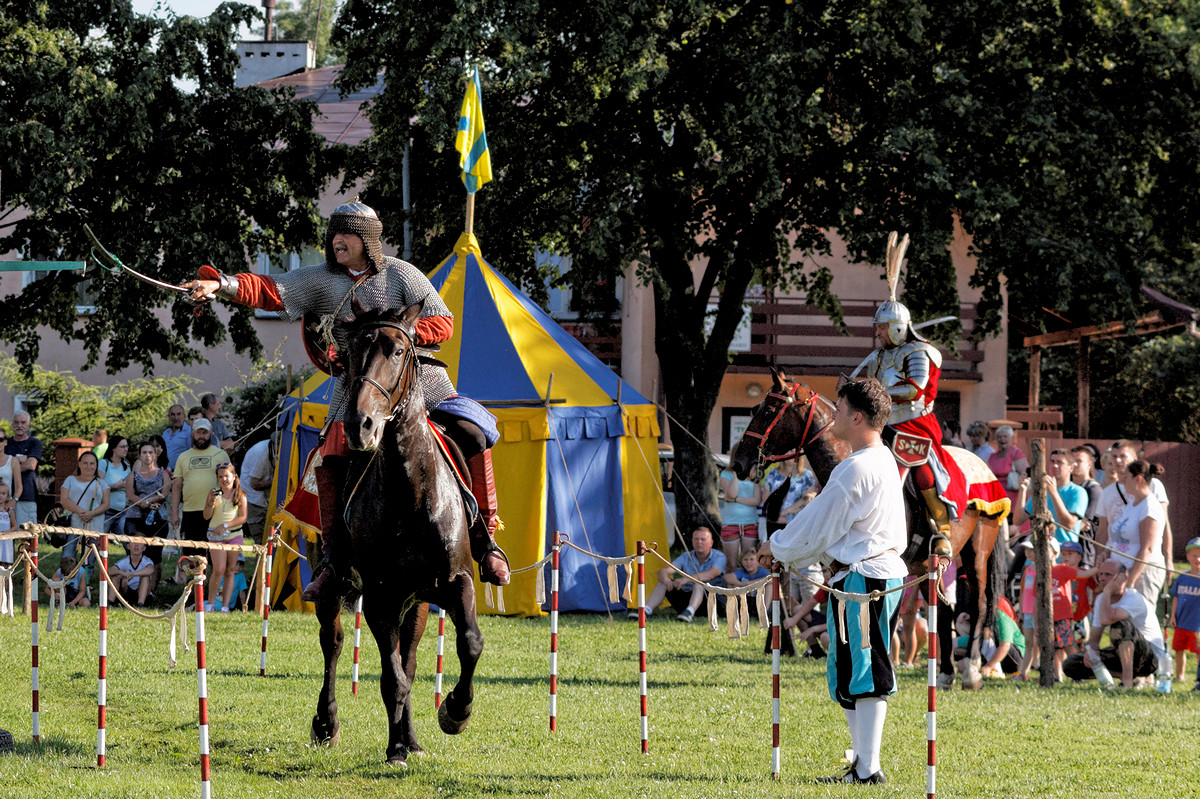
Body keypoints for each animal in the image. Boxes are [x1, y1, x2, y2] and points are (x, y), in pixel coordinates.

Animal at [309, 298, 487, 758]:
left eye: (399, 351)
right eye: (352, 350)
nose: (360, 424)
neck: (411, 493)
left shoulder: (456, 581)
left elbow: (469, 643)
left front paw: (456, 711)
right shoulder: (379, 596)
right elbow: (392, 679)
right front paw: (395, 750)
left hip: (417, 600)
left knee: (409, 656)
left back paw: (409, 738)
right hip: (339, 586)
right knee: (334, 642)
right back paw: (329, 723)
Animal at [729, 367, 1003, 686]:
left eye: (769, 410)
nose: (739, 462)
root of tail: (985, 469)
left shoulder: (895, 564)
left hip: (976, 554)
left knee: (978, 606)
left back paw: (971, 669)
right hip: (929, 564)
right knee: (945, 611)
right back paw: (946, 673)